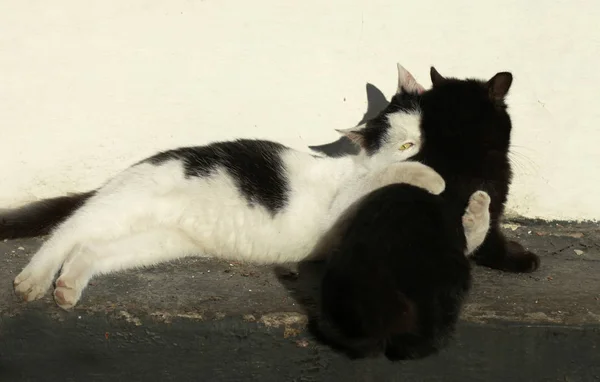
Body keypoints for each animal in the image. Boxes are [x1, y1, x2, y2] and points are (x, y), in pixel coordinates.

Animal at [1, 65, 488, 310]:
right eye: (406, 144)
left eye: (427, 131)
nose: (428, 153)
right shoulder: (343, 205)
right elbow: (382, 176)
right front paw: (429, 177)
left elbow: (468, 236)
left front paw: (478, 206)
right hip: (120, 207)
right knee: (63, 234)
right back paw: (33, 280)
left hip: (154, 241)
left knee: (89, 249)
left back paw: (67, 287)